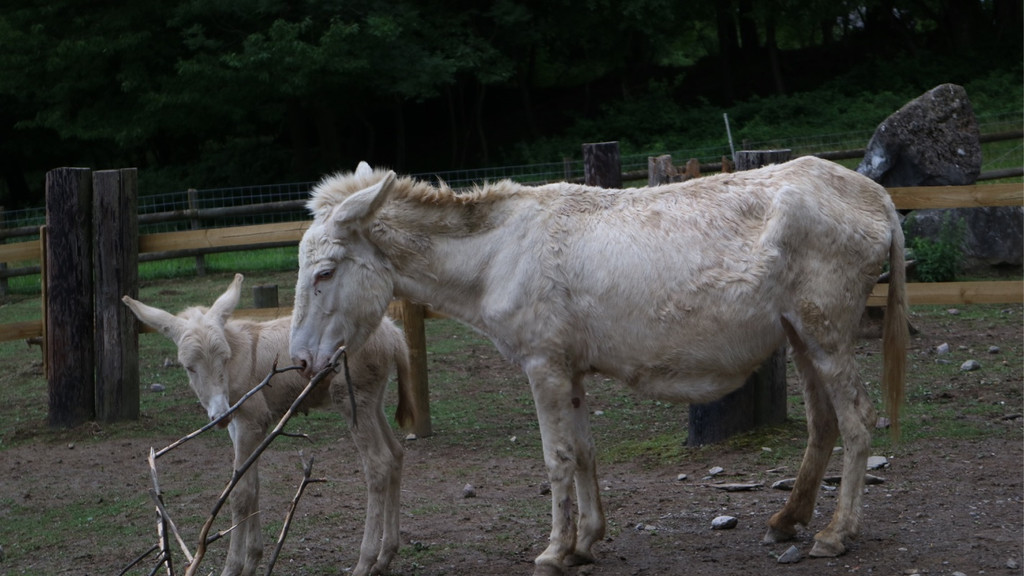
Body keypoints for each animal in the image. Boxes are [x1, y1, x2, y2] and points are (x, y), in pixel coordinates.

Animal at [289, 157, 909, 576]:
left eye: (324, 273)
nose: (298, 362)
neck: (497, 257)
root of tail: (877, 195)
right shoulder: (571, 370)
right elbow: (584, 451)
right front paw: (586, 542)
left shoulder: (543, 365)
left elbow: (556, 457)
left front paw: (553, 550)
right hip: (800, 336)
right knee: (824, 424)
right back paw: (787, 522)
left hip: (826, 332)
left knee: (857, 419)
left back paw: (835, 534)